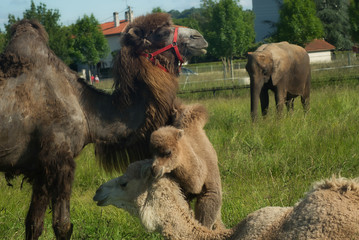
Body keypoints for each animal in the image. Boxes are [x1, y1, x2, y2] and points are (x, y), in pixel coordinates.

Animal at [0, 11, 208, 240]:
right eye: (161, 32)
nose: (199, 37)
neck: (86, 112)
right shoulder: (59, 159)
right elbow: (63, 225)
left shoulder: (41, 166)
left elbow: (33, 224)